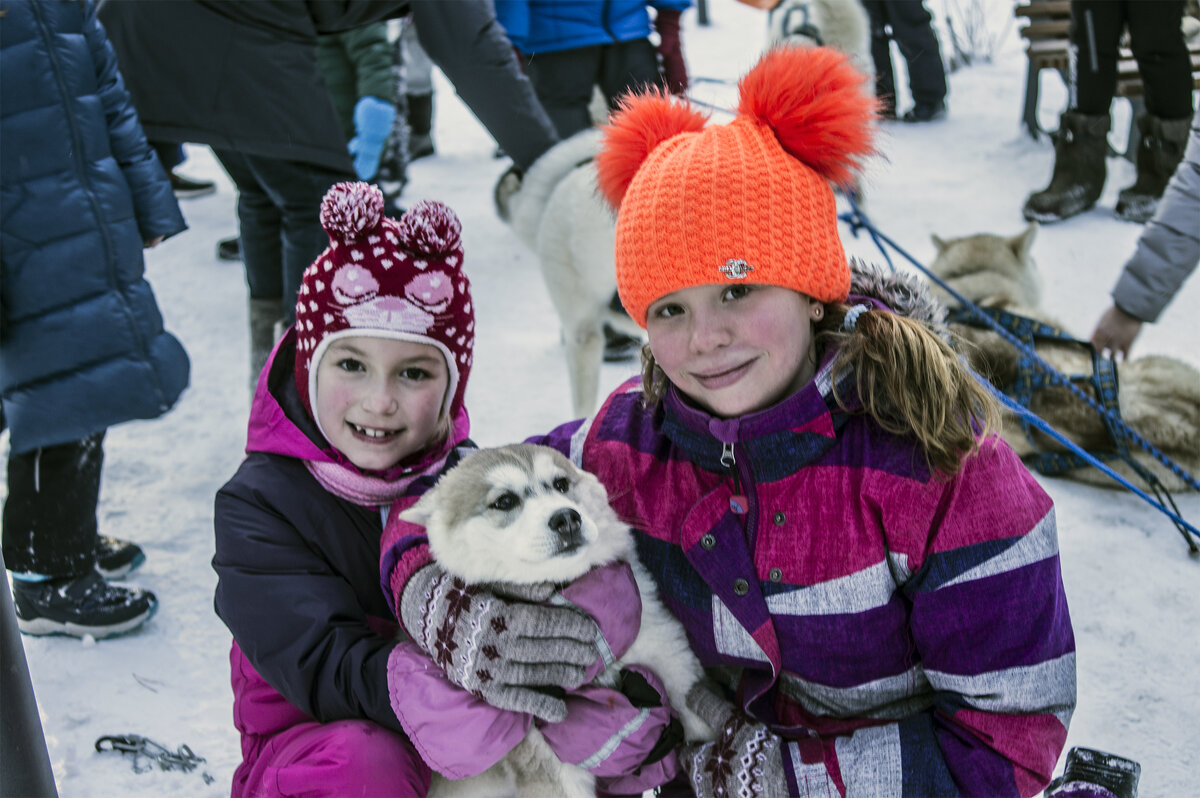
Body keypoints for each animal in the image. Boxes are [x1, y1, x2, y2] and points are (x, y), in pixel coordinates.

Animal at [403, 441, 715, 796]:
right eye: (505, 501)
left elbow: (692, 702)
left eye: (561, 484)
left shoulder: (665, 649)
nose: (566, 518)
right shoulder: (546, 759)